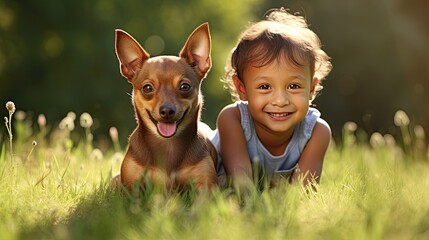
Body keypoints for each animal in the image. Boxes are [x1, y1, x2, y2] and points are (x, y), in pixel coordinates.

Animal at [113, 22, 217, 191]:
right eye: (147, 88)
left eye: (184, 86)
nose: (167, 110)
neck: (168, 145)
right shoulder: (130, 186)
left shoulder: (206, 186)